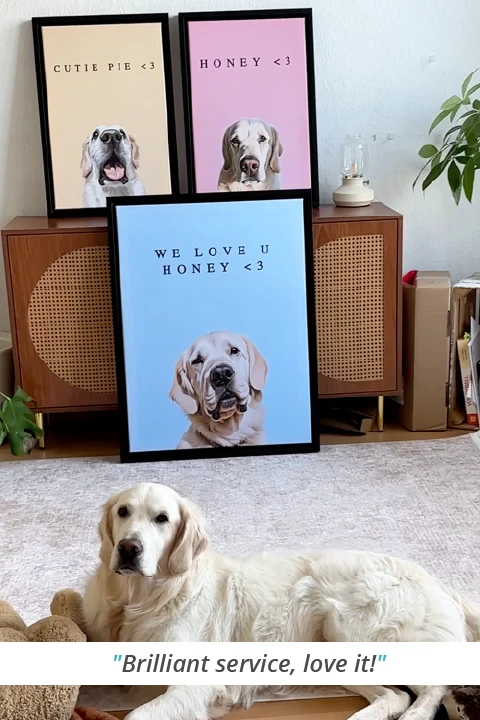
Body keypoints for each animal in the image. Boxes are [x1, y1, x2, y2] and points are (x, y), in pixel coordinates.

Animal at [82, 480, 480, 720]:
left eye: (162, 518)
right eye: (123, 511)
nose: (128, 548)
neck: (143, 599)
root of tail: (437, 581)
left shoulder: (194, 680)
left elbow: (138, 713)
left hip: (354, 628)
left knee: (433, 687)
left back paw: (416, 714)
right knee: (394, 696)